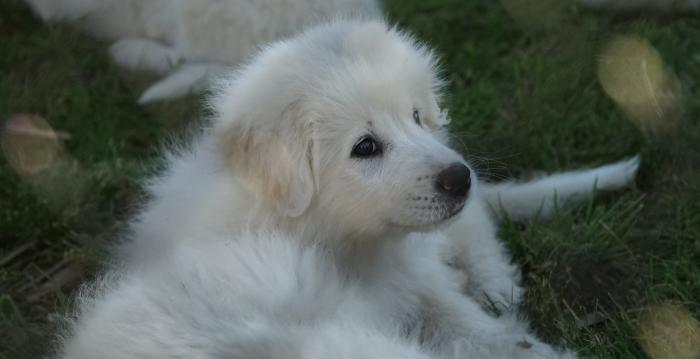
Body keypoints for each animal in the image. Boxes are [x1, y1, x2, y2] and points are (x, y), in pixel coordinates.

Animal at [58, 20, 640, 359]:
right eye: (365, 147)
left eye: (416, 117)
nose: (459, 179)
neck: (351, 246)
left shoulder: (421, 282)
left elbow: (482, 328)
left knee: (478, 228)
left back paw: (496, 279)